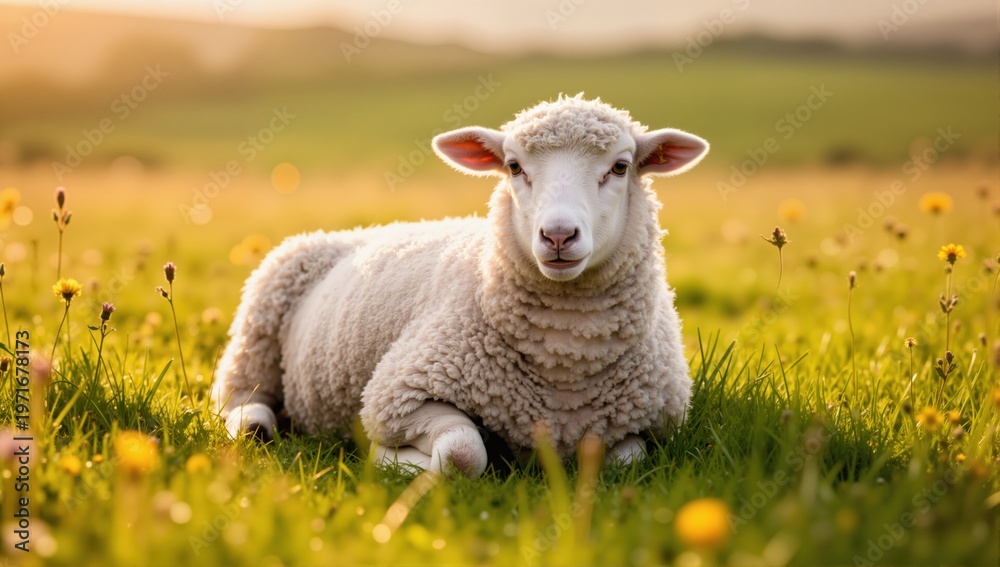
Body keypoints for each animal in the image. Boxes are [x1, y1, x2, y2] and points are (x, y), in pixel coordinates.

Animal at [212, 94, 709, 477]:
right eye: (514, 167)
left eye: (620, 167)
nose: (558, 235)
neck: (565, 356)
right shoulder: (399, 393)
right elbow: (463, 453)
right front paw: (388, 459)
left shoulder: (651, 424)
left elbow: (626, 462)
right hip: (258, 329)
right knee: (236, 395)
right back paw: (255, 423)